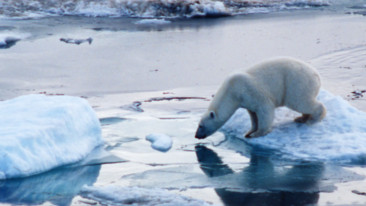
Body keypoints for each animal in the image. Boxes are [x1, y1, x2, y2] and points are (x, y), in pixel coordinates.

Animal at [194, 57, 326, 139]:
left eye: (201, 126)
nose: (196, 135)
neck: (232, 90)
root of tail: (317, 75)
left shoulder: (251, 91)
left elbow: (264, 109)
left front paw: (258, 133)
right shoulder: (246, 100)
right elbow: (253, 115)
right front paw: (249, 132)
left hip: (297, 83)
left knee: (300, 101)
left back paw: (312, 119)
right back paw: (301, 118)